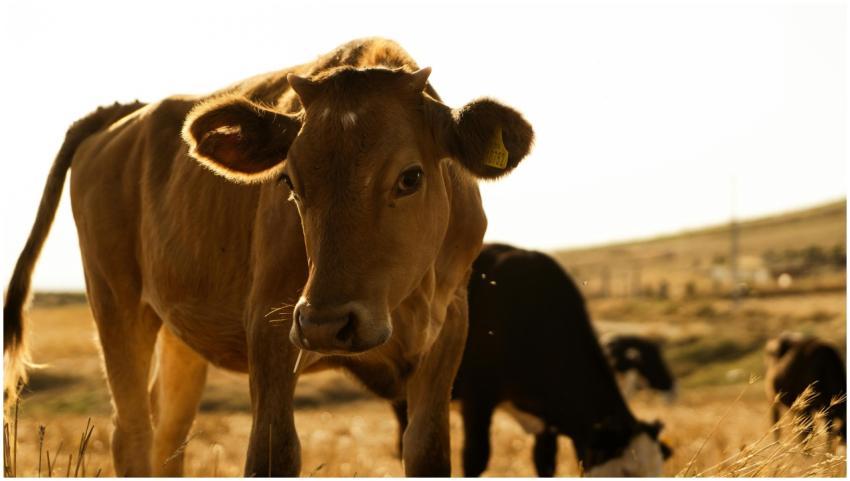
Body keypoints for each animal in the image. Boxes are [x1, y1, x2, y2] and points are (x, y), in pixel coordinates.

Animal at [3, 38, 534, 476]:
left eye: (411, 177)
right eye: (289, 182)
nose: (327, 325)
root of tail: (124, 113)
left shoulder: (448, 329)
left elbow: (427, 450)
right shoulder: (271, 325)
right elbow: (273, 453)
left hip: (179, 337)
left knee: (168, 436)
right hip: (116, 304)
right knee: (132, 433)